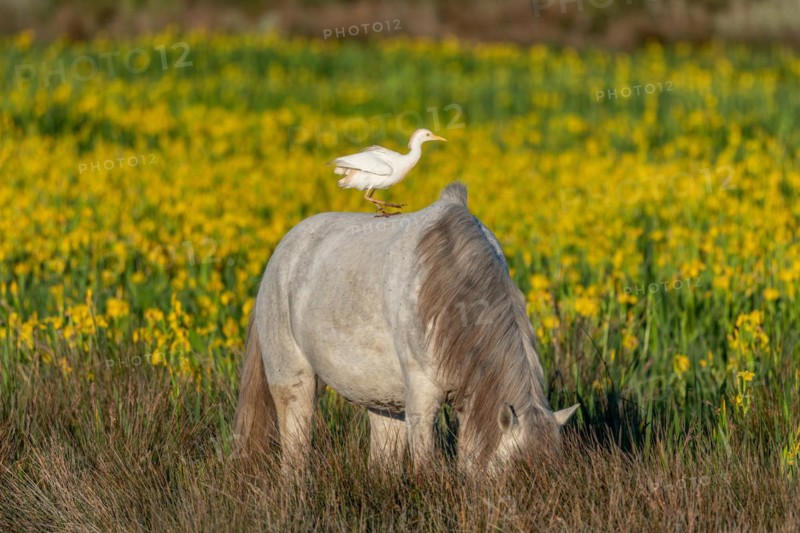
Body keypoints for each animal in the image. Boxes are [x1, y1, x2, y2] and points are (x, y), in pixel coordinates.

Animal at [233, 182, 579, 473]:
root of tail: (281, 254)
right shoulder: (422, 402)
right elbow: (425, 466)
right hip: (294, 383)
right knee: (294, 454)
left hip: (382, 400)